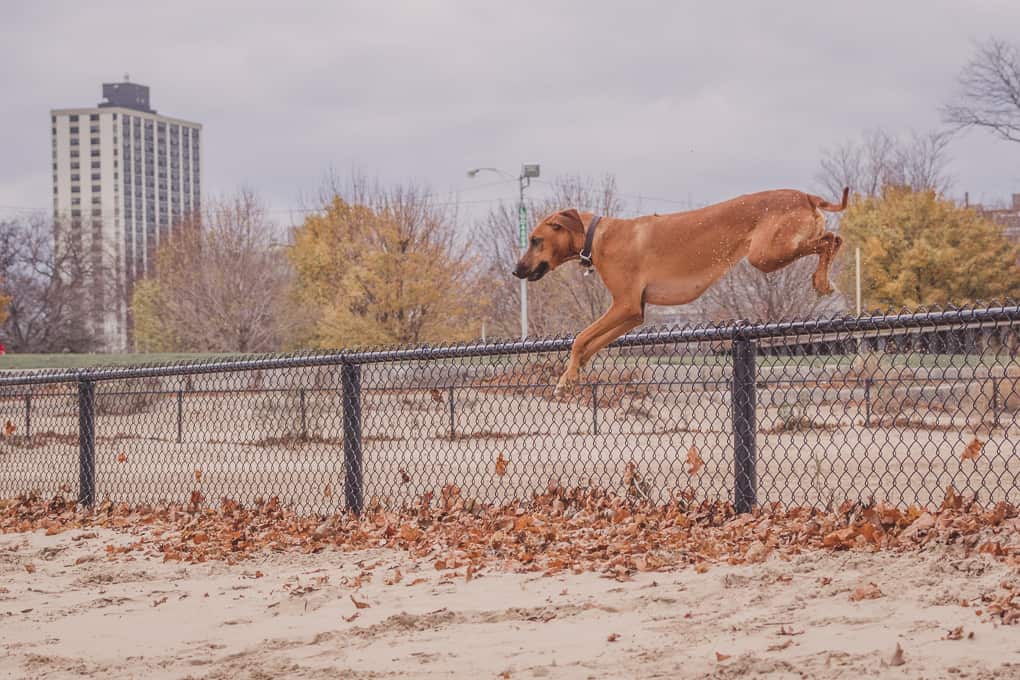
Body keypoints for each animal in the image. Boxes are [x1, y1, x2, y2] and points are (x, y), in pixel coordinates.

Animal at [514, 187, 848, 399]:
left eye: (535, 240)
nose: (516, 271)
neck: (596, 237)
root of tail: (806, 196)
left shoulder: (624, 305)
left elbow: (580, 338)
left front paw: (565, 378)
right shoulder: (633, 312)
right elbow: (589, 343)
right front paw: (573, 375)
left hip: (764, 254)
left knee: (832, 239)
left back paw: (821, 280)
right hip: (771, 251)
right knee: (834, 238)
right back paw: (822, 278)